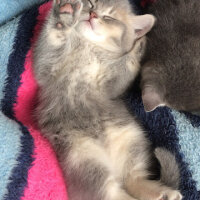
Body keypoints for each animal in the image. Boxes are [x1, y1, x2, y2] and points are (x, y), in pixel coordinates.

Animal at [33, 0, 182, 199]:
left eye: (109, 17)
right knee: (112, 191)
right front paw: (63, 16)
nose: (93, 15)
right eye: (91, 4)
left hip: (132, 141)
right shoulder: (48, 70)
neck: (89, 46)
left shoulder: (111, 86)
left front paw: (138, 47)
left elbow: (125, 68)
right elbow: (50, 45)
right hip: (84, 159)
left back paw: (164, 193)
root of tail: (113, 164)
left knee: (132, 180)